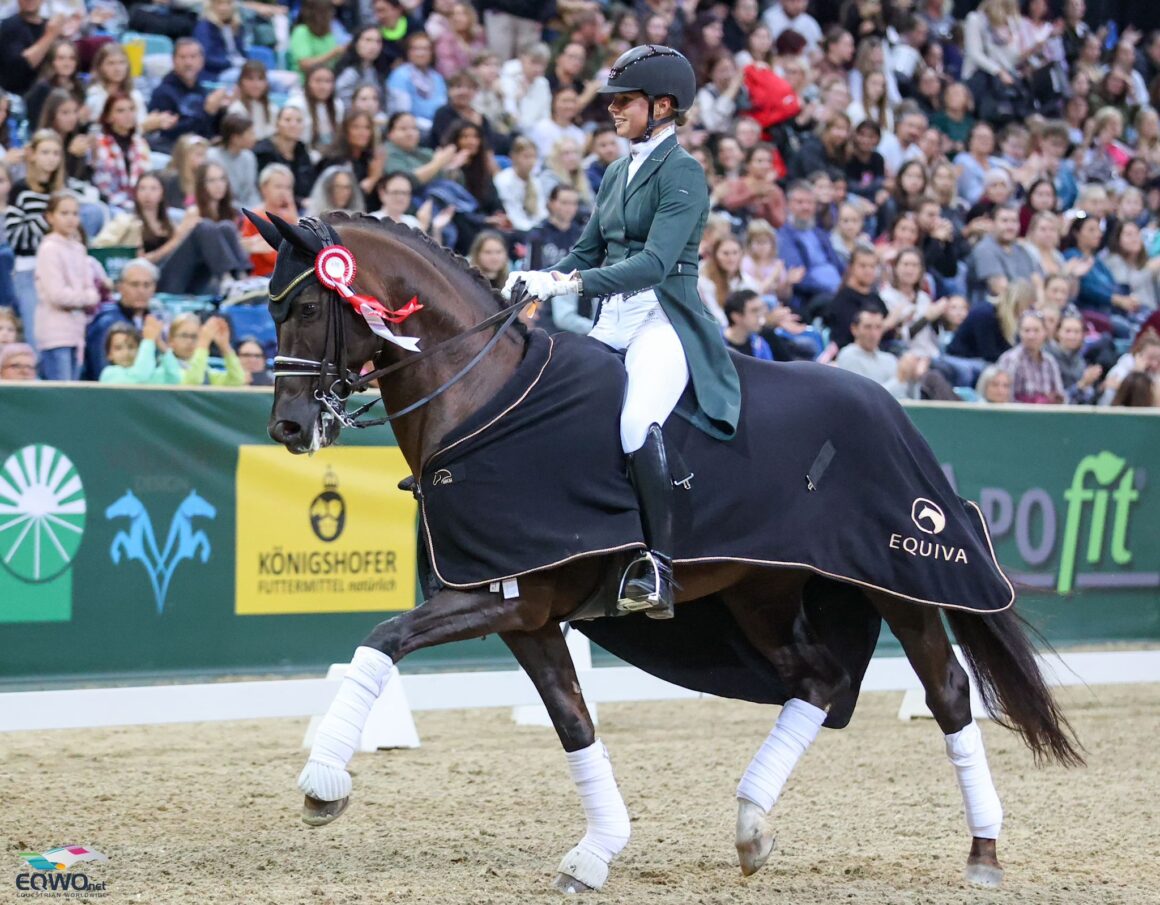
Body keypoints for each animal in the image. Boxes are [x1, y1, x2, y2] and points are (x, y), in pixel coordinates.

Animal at [242, 212, 1076, 895]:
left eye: (308, 307)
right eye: (272, 307)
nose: (289, 427)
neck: (484, 398)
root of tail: (893, 406)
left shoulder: (496, 594)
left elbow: (383, 638)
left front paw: (322, 782)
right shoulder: (525, 613)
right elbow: (572, 720)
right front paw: (595, 851)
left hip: (902, 581)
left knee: (948, 692)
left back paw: (983, 851)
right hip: (762, 593)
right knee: (821, 676)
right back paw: (751, 825)